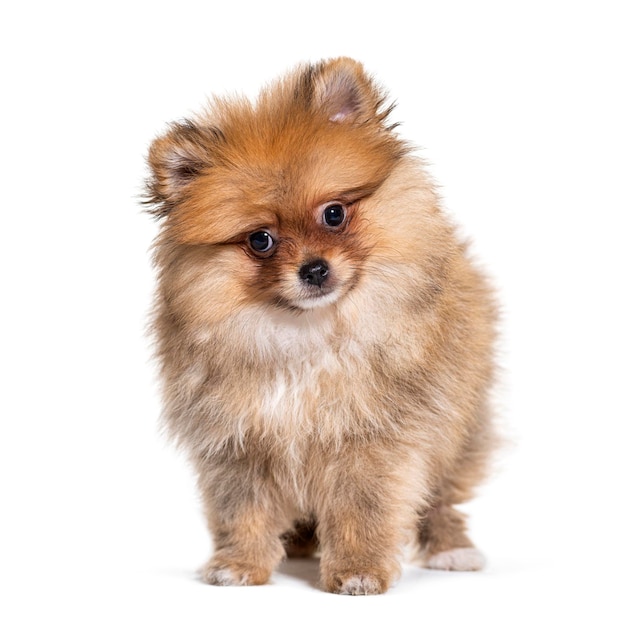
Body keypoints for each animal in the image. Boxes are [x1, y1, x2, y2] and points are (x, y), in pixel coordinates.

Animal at [145, 56, 498, 592]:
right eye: (261, 240)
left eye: (334, 213)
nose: (313, 269)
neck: (304, 333)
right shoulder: (237, 443)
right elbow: (242, 511)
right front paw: (239, 565)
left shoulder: (369, 440)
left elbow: (363, 510)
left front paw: (357, 570)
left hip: (459, 427)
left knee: (441, 495)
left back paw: (451, 549)